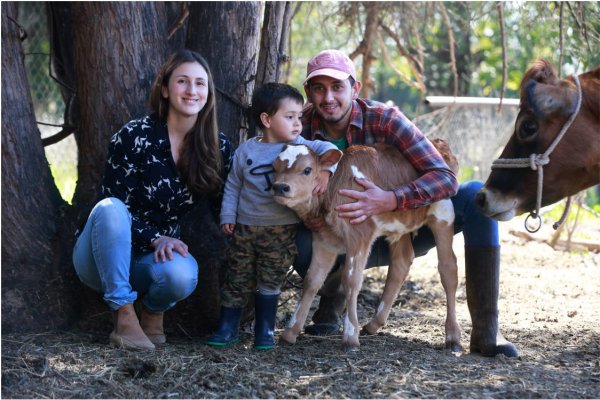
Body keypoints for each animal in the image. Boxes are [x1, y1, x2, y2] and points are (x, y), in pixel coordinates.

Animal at [272, 139, 464, 352]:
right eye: (274, 167)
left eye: (307, 170)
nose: (280, 187)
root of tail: (439, 143)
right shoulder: (324, 239)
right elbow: (312, 280)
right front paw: (290, 332)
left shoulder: (359, 236)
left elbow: (351, 281)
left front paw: (350, 337)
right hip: (400, 225)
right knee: (401, 263)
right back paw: (373, 324)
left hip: (443, 213)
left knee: (448, 269)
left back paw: (453, 337)